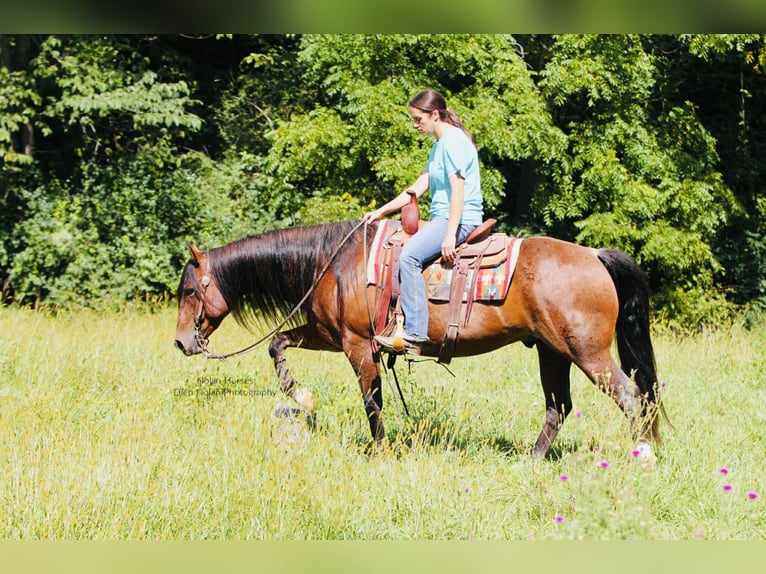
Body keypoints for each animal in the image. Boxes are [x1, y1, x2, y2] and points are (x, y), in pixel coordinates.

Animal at [174, 219, 665, 460]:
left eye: (189, 290)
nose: (181, 343)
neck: (333, 262)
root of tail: (595, 256)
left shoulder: (357, 345)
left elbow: (372, 401)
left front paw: (381, 451)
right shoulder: (327, 334)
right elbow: (277, 343)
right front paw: (301, 395)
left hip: (588, 353)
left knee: (632, 395)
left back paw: (642, 453)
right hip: (553, 352)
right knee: (558, 407)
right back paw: (532, 459)